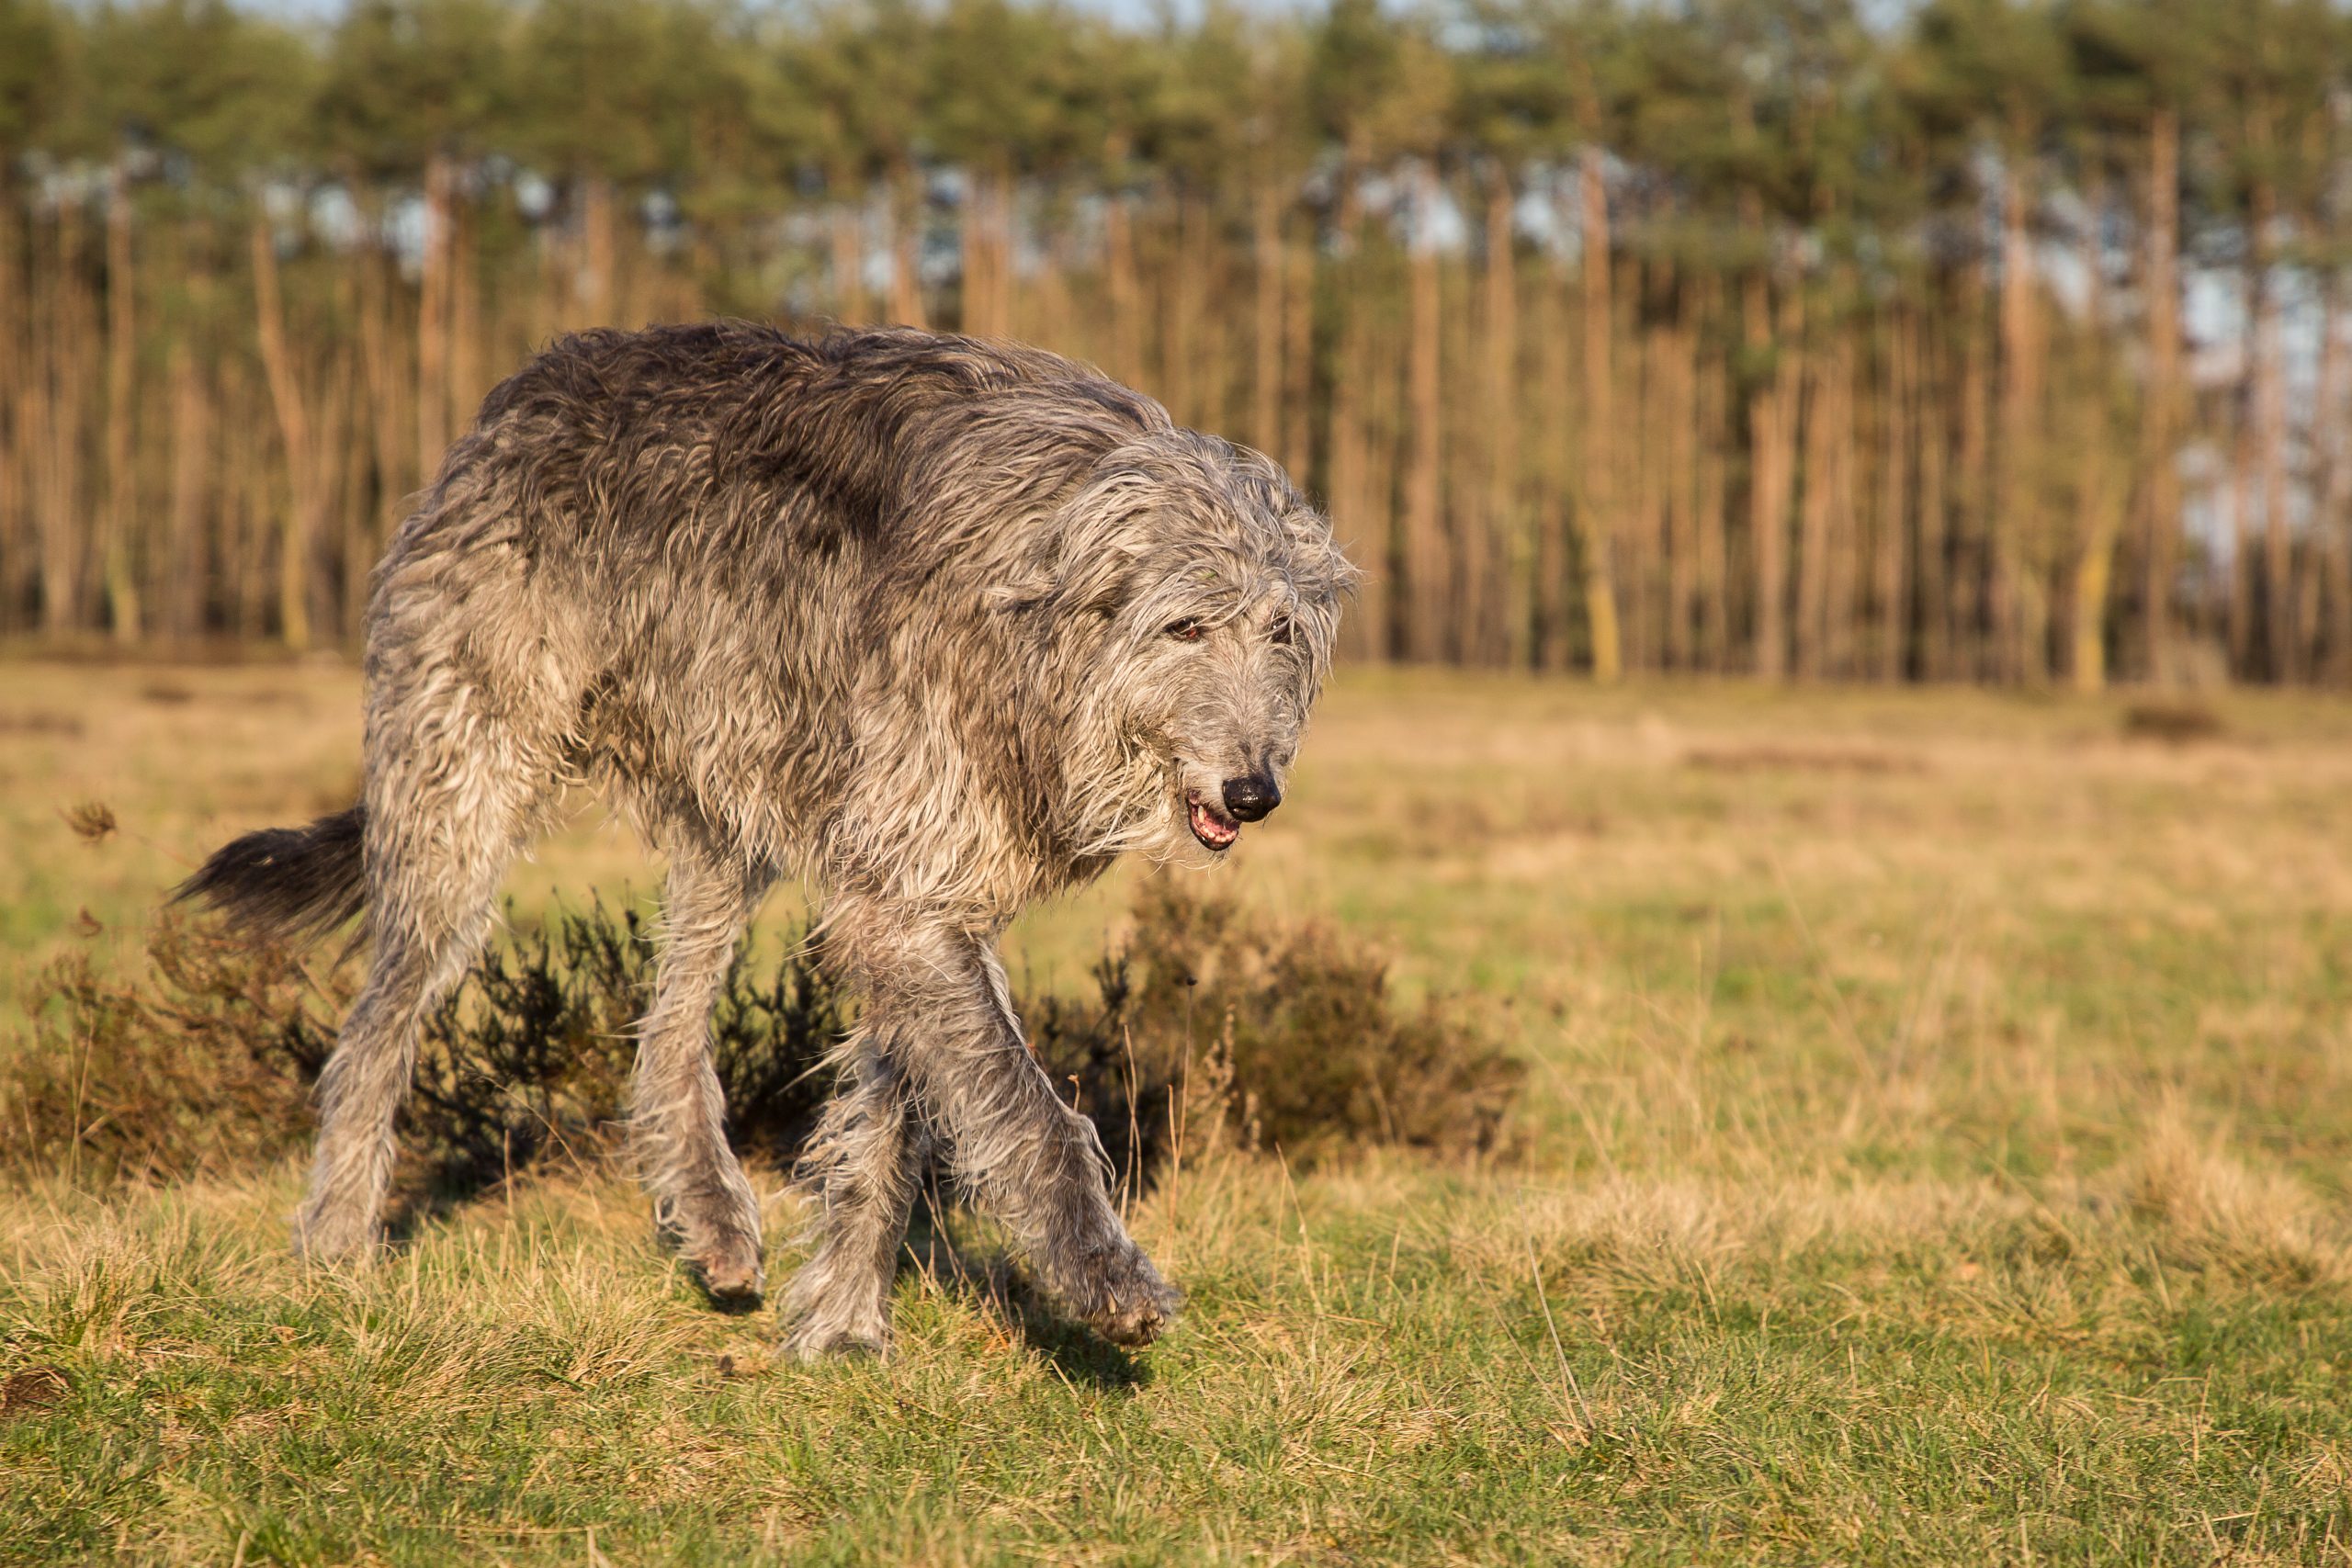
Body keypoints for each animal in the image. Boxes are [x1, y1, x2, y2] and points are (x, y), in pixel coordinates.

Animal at [181, 321, 1354, 1363]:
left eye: (1280, 632)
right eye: (1185, 625)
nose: (1253, 792)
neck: (1035, 620)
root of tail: (510, 404)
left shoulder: (917, 889)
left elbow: (892, 1118)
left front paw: (842, 1324)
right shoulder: (907, 891)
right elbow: (1025, 1109)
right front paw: (1104, 1277)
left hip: (726, 815)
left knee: (667, 1029)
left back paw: (709, 1215)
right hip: (461, 789)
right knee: (380, 1023)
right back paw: (338, 1243)